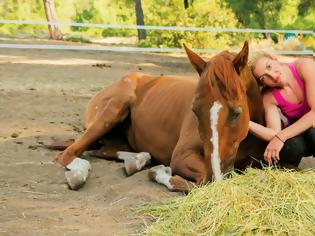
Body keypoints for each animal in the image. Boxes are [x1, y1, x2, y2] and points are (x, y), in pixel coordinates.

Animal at [48, 41, 266, 192]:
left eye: (236, 112)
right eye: (194, 110)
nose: (217, 176)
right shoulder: (181, 157)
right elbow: (199, 181)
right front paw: (160, 173)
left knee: (104, 151)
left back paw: (137, 161)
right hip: (110, 114)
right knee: (68, 154)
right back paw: (78, 175)